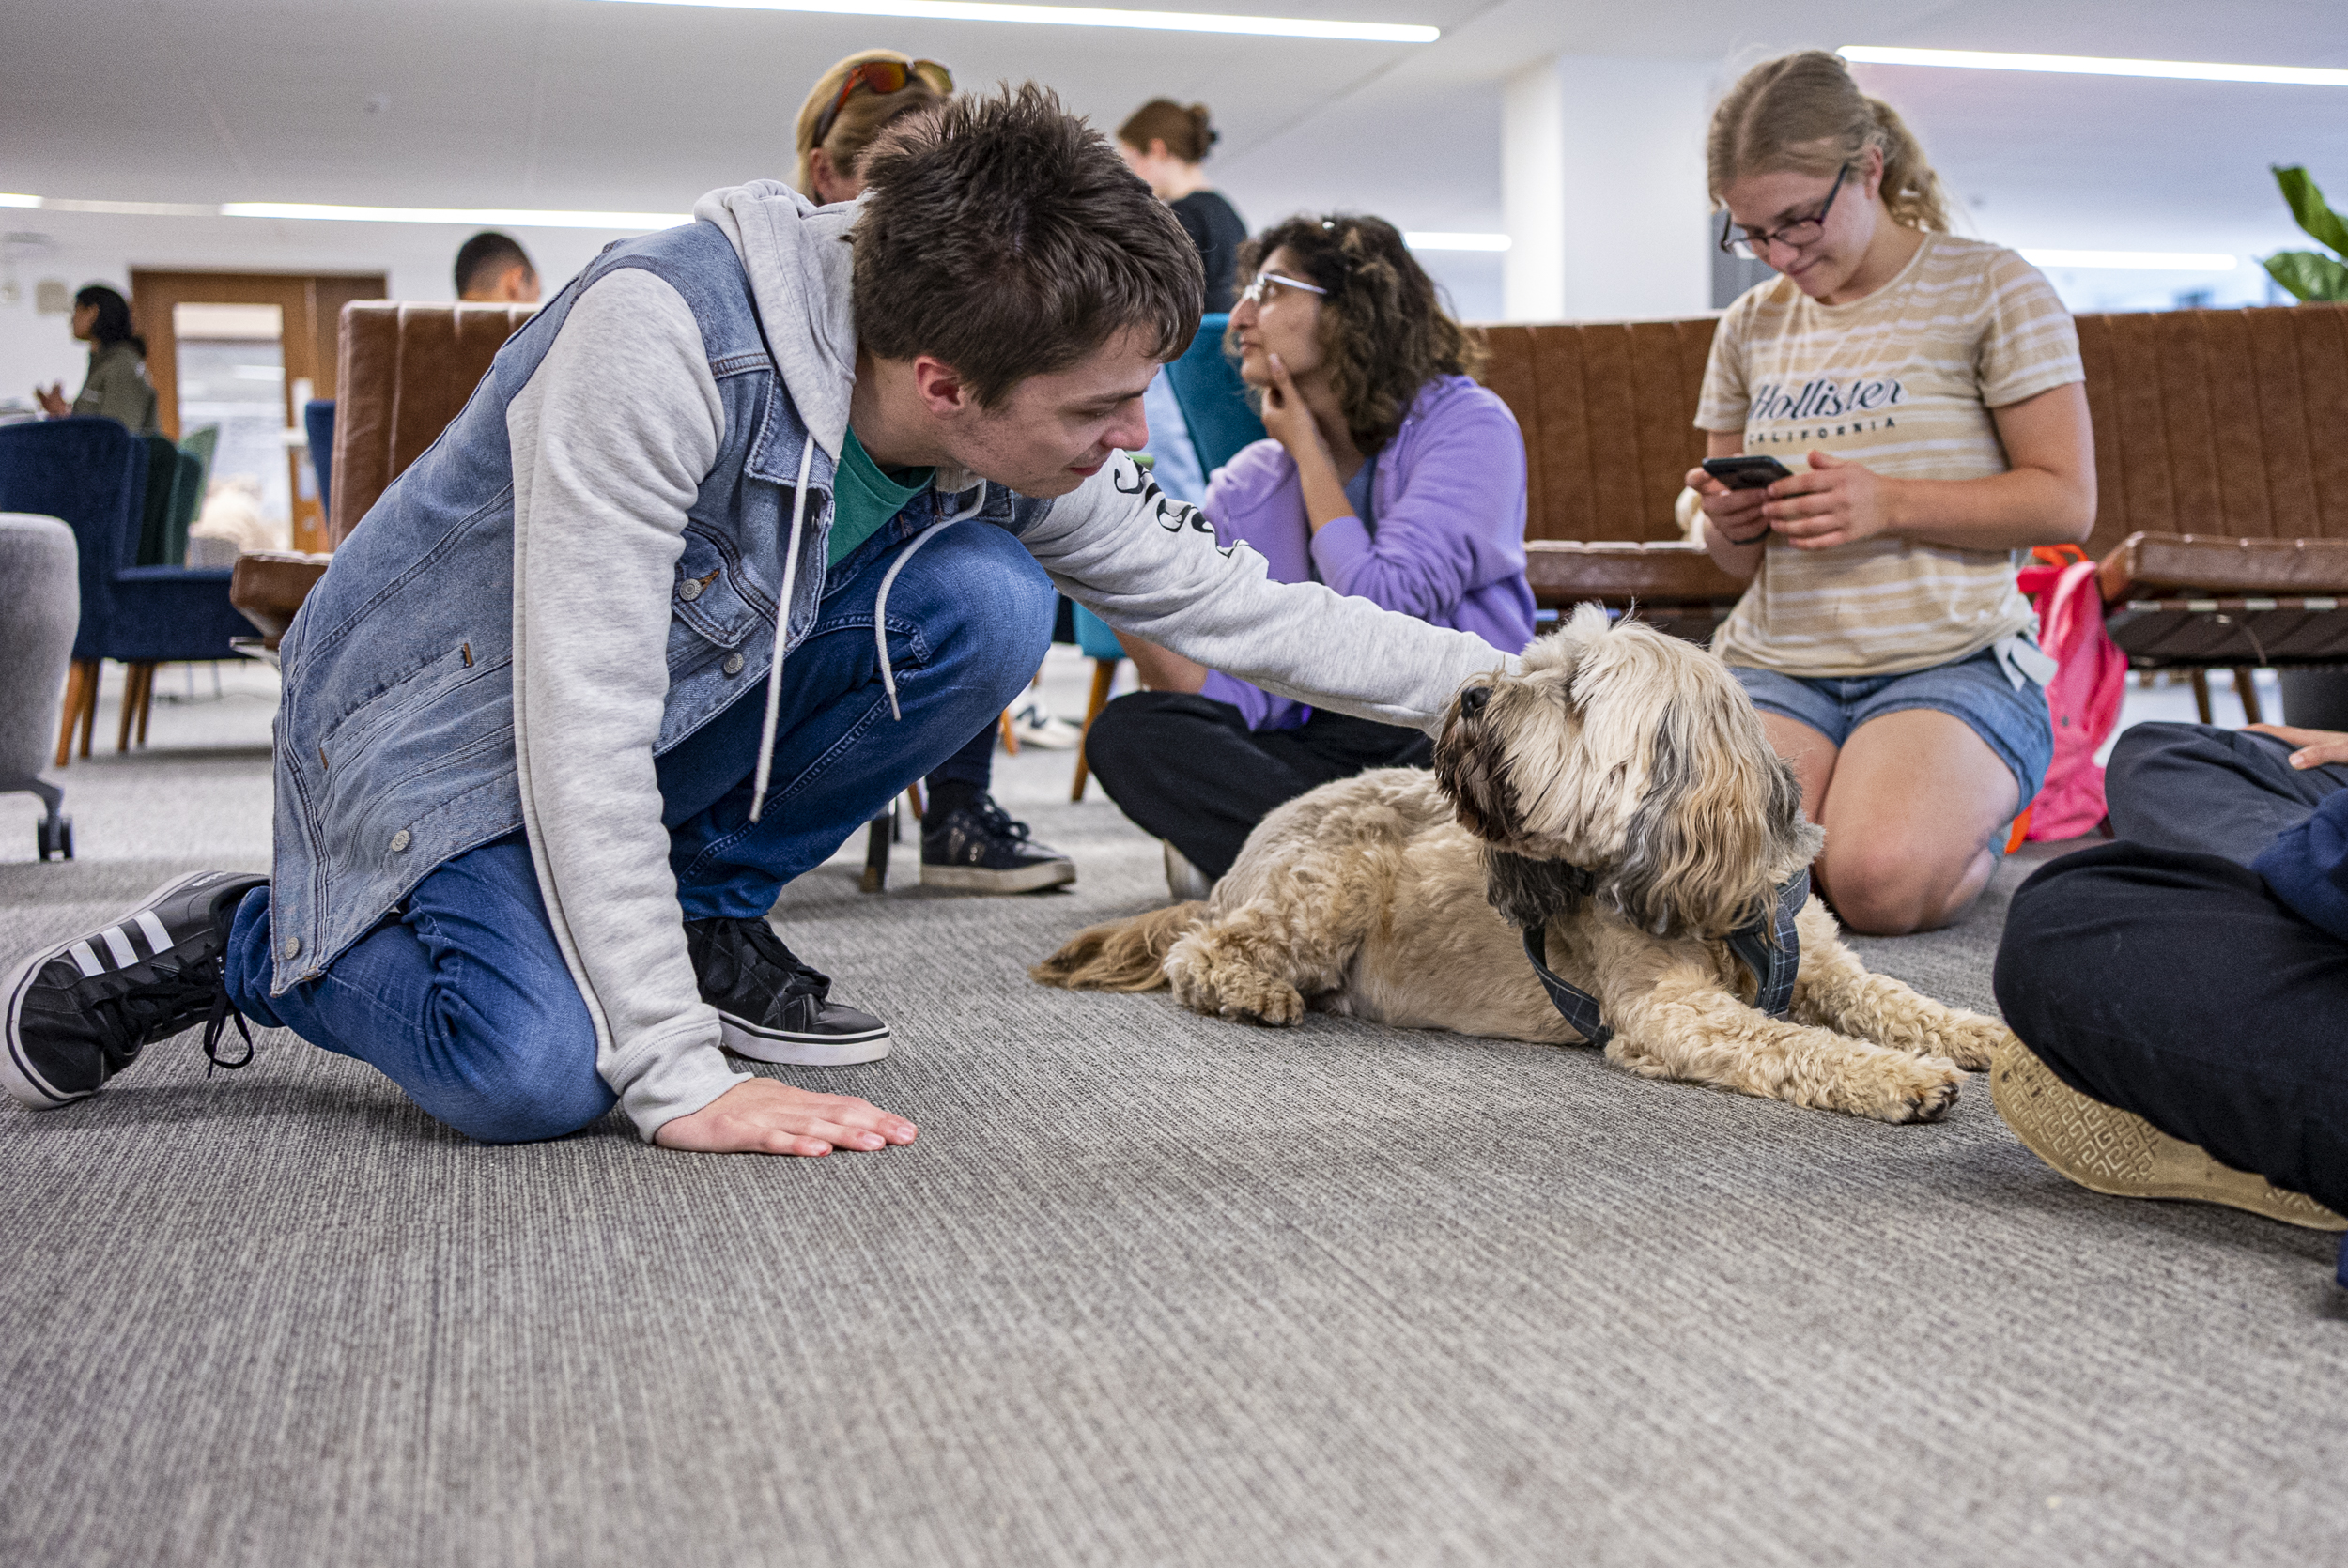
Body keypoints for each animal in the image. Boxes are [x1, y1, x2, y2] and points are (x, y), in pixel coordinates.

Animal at [1038, 606, 2010, 1127]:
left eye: (1574, 693)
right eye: (1532, 665)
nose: (1470, 692)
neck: (1721, 907)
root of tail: (1247, 854)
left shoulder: (1829, 966)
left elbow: (1905, 1004)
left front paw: (1990, 1039)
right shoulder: (1670, 1012)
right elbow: (1791, 1042)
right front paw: (1899, 1077)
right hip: (1331, 885)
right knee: (1195, 953)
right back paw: (1252, 991)